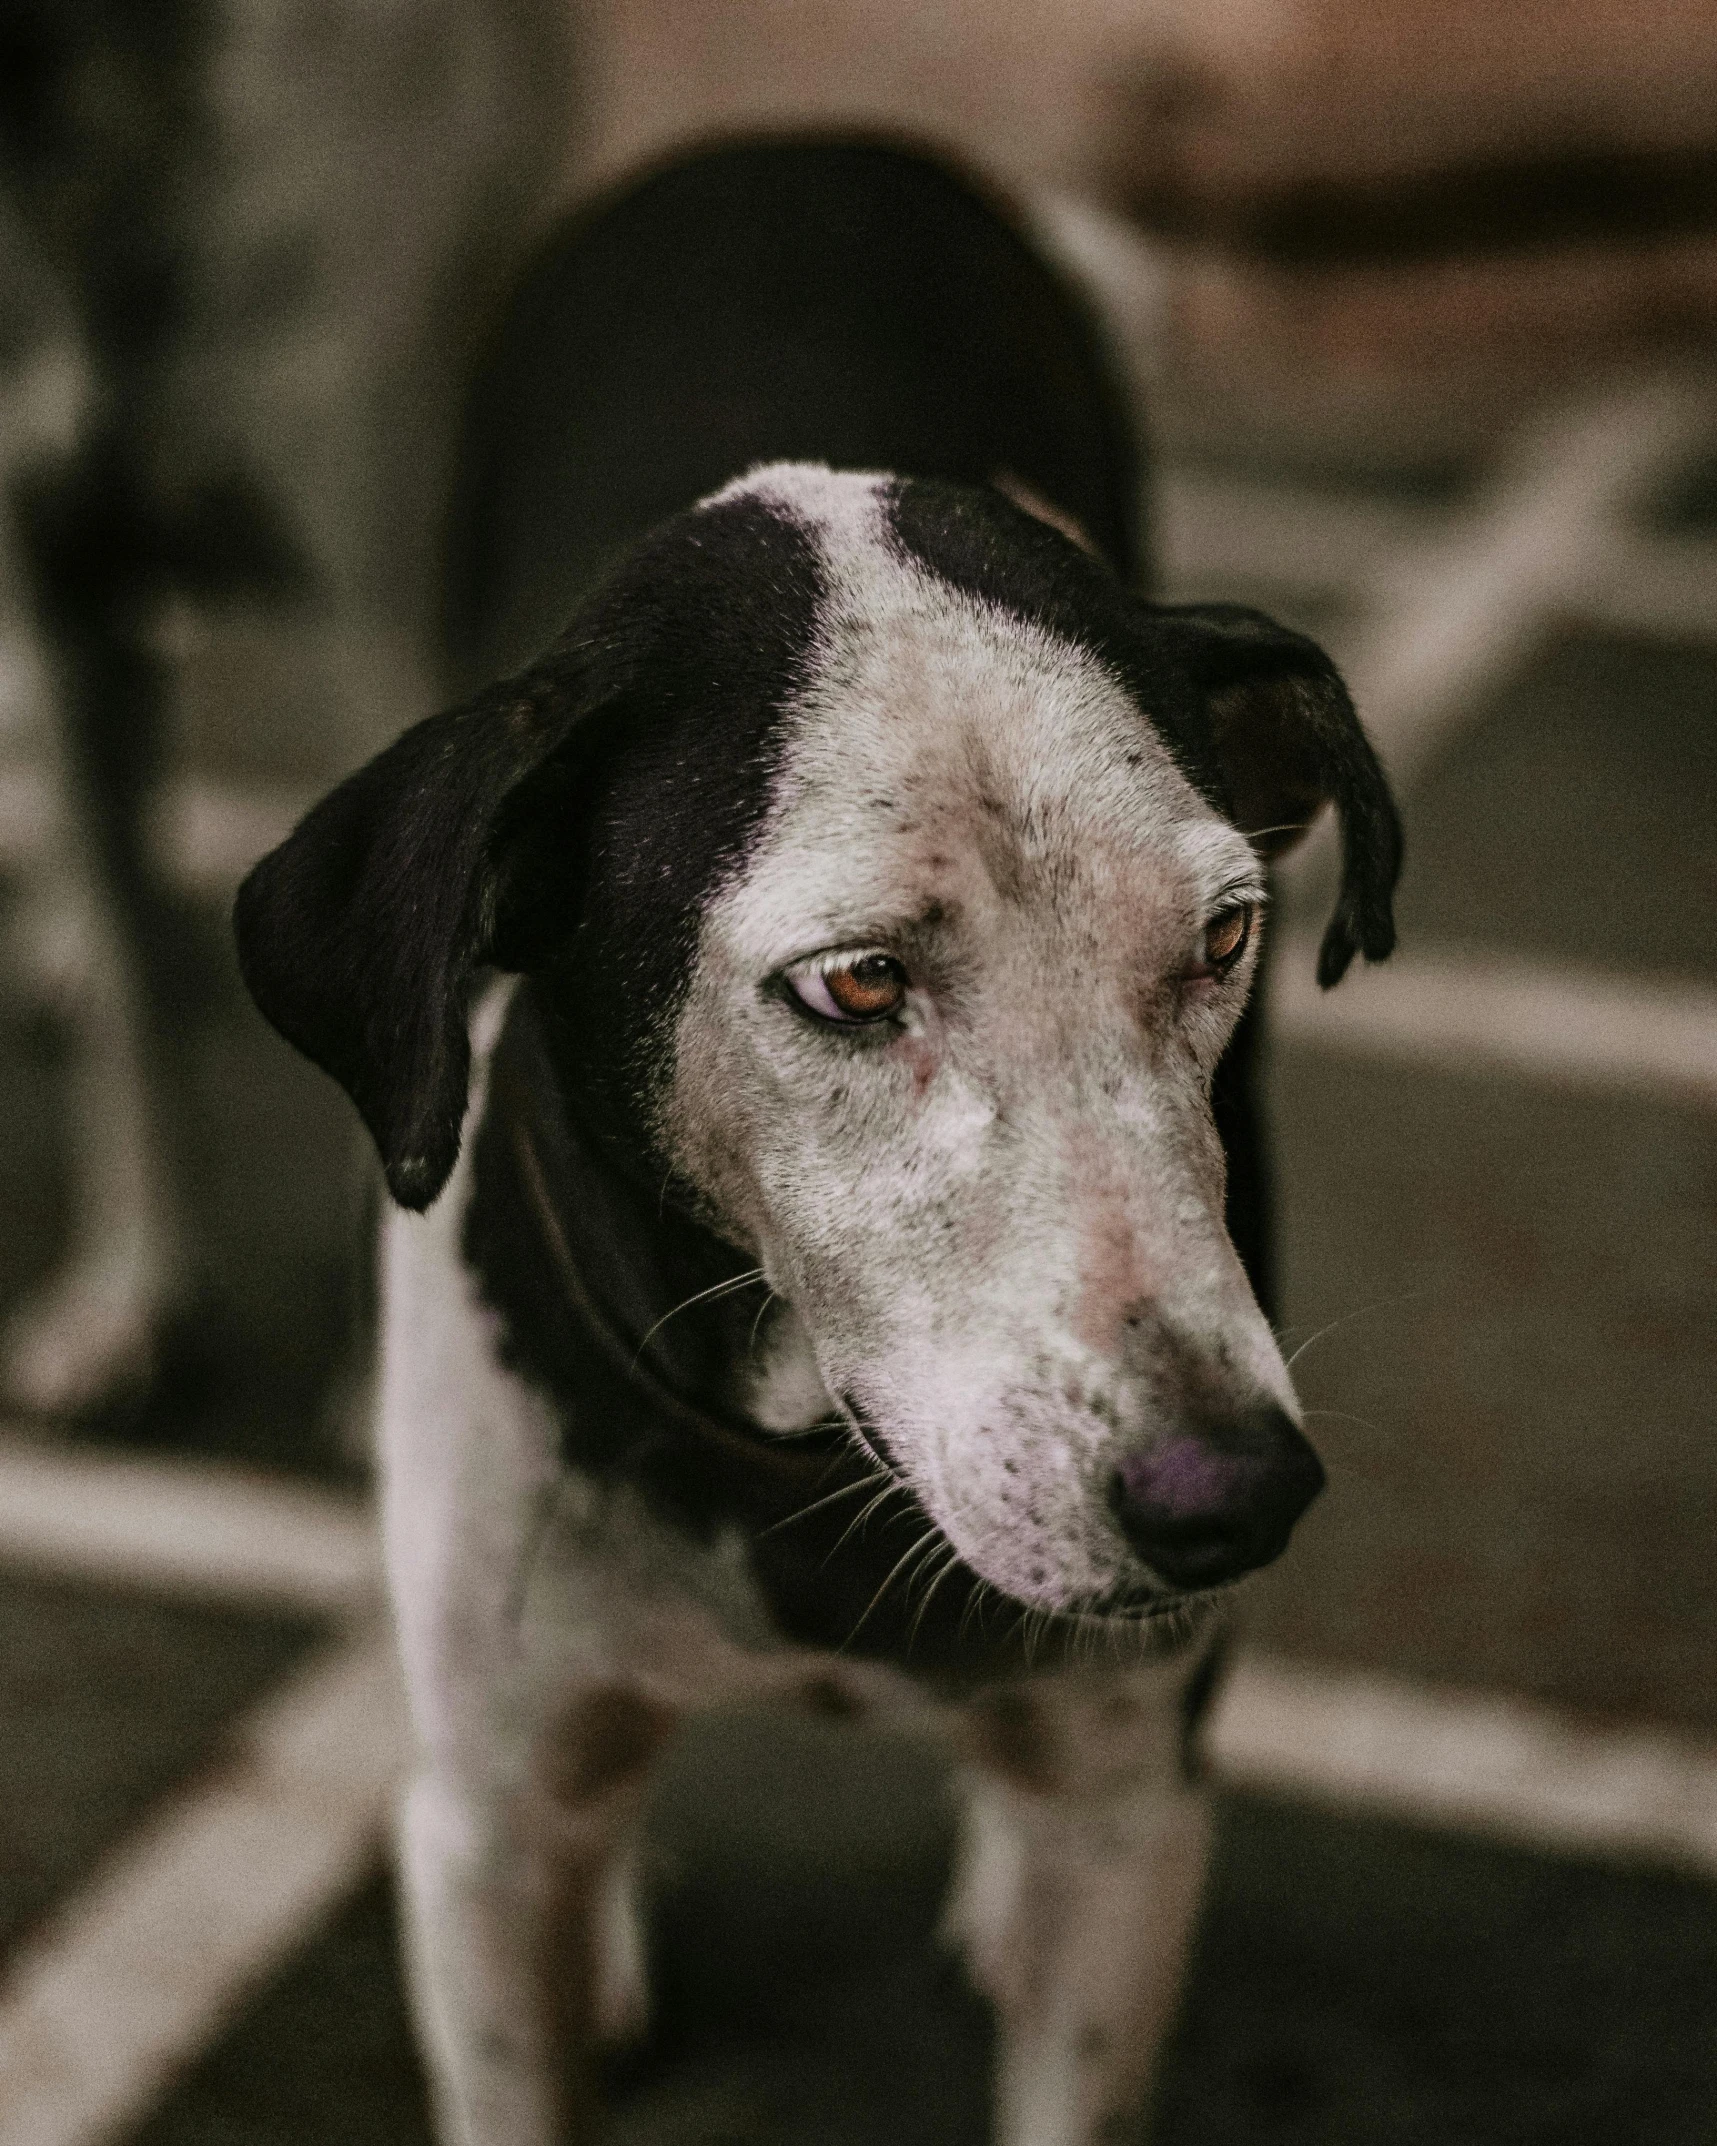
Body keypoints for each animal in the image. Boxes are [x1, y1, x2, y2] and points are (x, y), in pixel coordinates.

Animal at [235, 138, 1399, 2146]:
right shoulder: (484, 1826)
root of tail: (796, 140)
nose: (1230, 1497)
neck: (795, 1459)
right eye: (856, 984)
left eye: (1223, 937)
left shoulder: (1130, 1806)